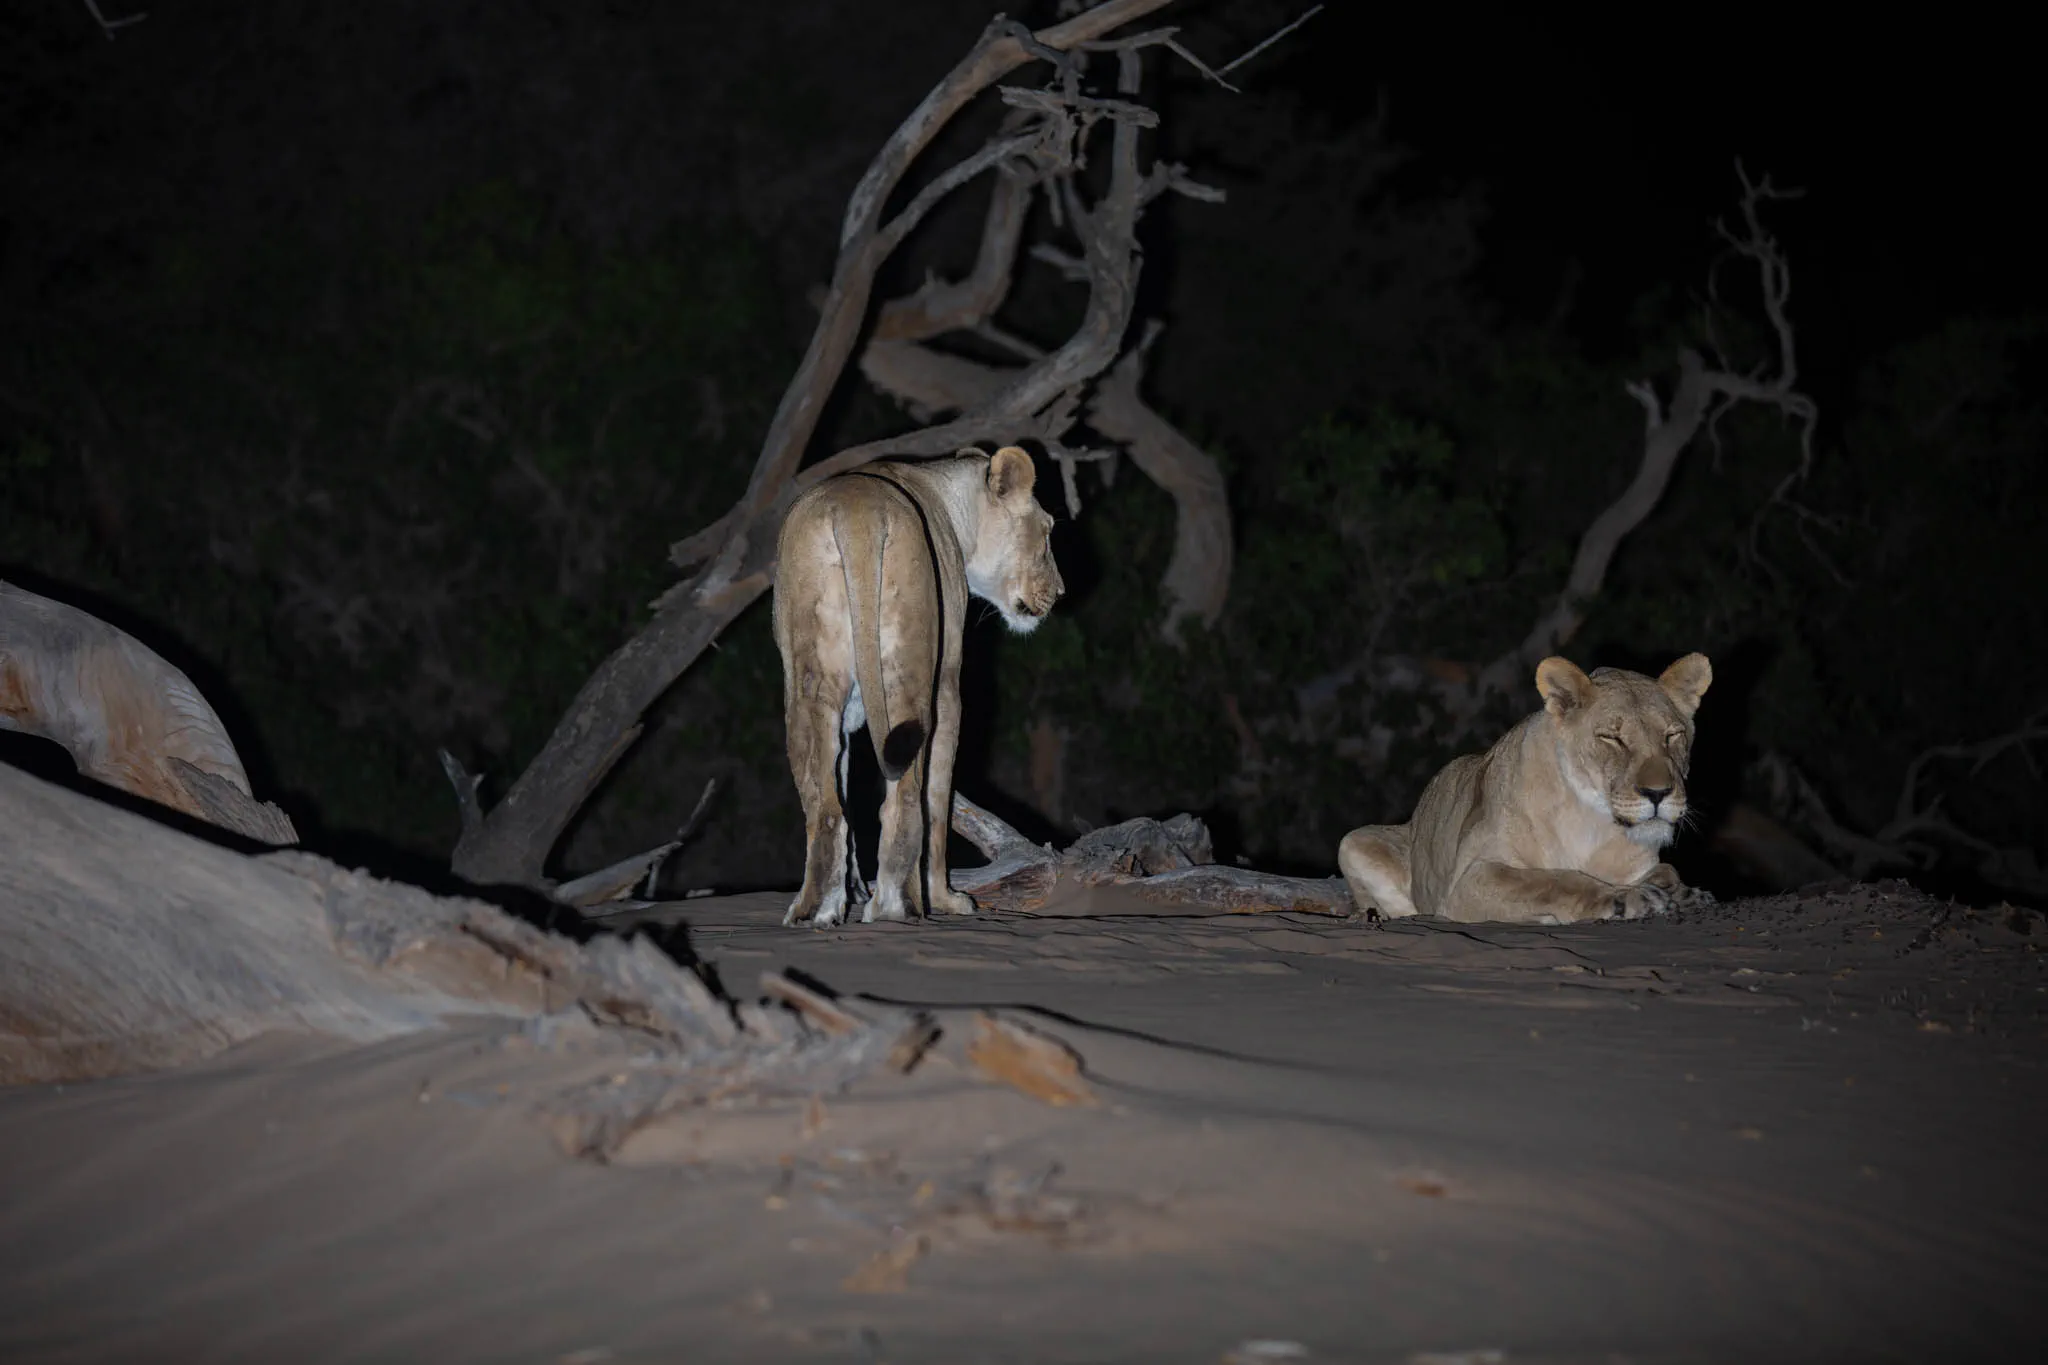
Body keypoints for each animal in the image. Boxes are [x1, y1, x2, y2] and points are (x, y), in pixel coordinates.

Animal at [773, 446, 1064, 927]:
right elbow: (938, 801)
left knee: (827, 806)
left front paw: (853, 889)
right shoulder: (947, 681)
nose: (1059, 592)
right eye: (1045, 532)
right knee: (906, 795)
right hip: (911, 664)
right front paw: (945, 898)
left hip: (807, 677)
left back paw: (814, 909)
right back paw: (899, 905)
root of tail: (856, 511)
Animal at [1337, 653, 1716, 925]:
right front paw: (1622, 899)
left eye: (1672, 735)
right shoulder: (1471, 879)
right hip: (1355, 840)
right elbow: (1550, 881)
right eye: (1612, 738)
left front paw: (1683, 894)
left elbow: (1665, 871)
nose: (1658, 794)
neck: (1596, 824)